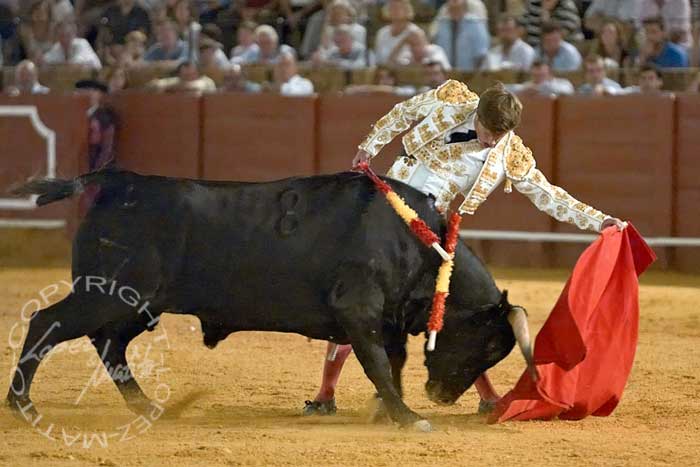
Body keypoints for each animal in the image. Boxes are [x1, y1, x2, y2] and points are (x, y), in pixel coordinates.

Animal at [6, 171, 532, 432]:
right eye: (489, 346)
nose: (441, 396)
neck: (419, 243)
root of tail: (120, 181)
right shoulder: (358, 309)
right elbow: (380, 364)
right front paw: (408, 417)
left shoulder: (387, 319)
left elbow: (392, 362)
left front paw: (389, 411)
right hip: (108, 294)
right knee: (47, 323)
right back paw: (22, 405)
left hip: (137, 305)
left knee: (107, 344)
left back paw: (146, 406)